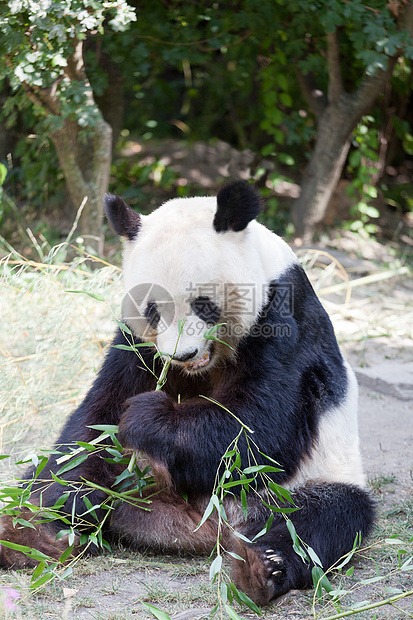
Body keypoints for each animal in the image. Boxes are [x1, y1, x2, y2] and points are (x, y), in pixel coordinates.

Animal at [0, 180, 374, 604]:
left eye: (204, 304)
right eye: (153, 310)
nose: (183, 354)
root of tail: (208, 529)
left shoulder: (283, 319)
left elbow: (260, 426)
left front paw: (147, 417)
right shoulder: (136, 345)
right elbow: (94, 423)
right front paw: (57, 504)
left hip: (300, 484)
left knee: (324, 520)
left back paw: (260, 567)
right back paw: (31, 536)